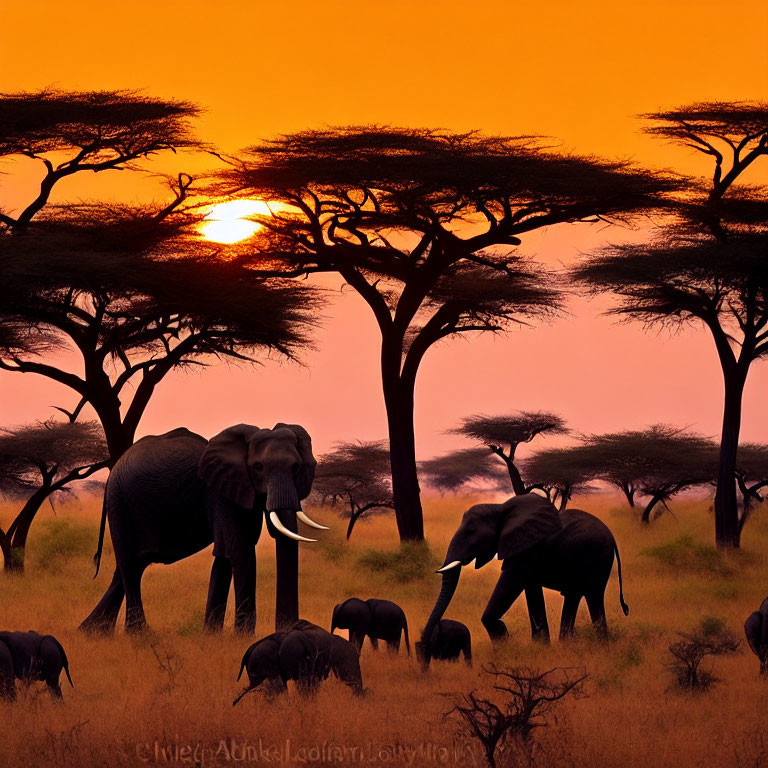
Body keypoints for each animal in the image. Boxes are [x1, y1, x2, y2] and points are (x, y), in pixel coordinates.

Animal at [79, 424, 326, 632]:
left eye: (296, 467)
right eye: (258, 467)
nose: (293, 628)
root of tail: (112, 471)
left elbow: (226, 554)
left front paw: (211, 636)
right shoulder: (218, 492)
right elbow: (240, 550)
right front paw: (241, 638)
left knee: (131, 567)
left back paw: (92, 632)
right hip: (119, 502)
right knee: (129, 565)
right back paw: (139, 636)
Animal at [416, 496, 628, 664]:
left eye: (471, 532)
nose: (423, 651)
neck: (499, 508)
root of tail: (613, 538)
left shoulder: (526, 550)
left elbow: (510, 583)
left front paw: (506, 644)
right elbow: (531, 589)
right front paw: (540, 647)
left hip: (596, 557)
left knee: (593, 598)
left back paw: (599, 650)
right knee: (576, 597)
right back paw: (572, 647)